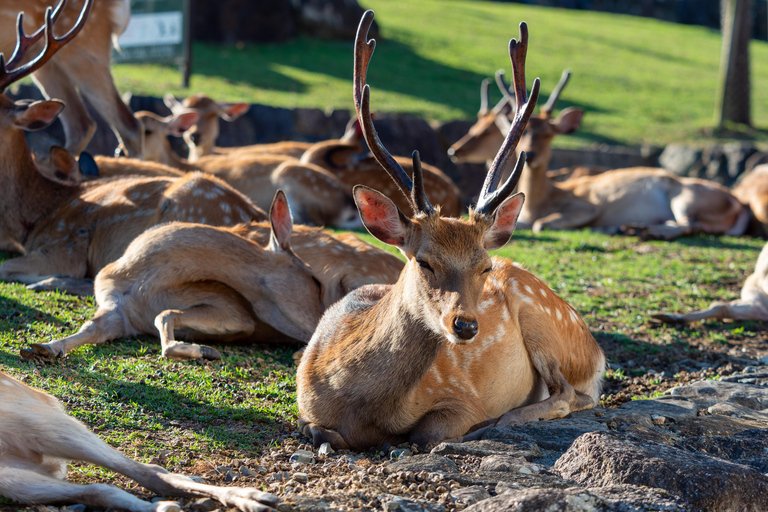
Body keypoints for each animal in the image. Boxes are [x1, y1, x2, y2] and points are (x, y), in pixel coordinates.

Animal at [0, 372, 282, 512]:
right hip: (9, 476)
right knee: (102, 488)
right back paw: (164, 508)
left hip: (37, 421)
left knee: (149, 471)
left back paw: (255, 499)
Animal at [23, 190, 402, 362]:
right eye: (314, 280)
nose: (322, 321)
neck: (144, 276)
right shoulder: (117, 308)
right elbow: (92, 326)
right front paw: (42, 347)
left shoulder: (236, 311)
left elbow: (166, 313)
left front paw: (203, 349)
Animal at [296, 12, 608, 450]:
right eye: (424, 261)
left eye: (484, 267)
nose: (466, 326)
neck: (357, 406)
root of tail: (597, 354)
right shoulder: (305, 405)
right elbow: (315, 428)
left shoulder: (462, 398)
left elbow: (427, 431)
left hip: (541, 319)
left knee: (569, 394)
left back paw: (502, 420)